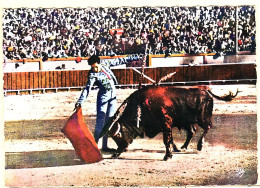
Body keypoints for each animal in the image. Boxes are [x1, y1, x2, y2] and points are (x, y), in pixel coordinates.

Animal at [99, 85, 238, 160]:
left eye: (118, 136)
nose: (115, 153)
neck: (143, 104)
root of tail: (205, 90)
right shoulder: (167, 126)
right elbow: (170, 140)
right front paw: (172, 151)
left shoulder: (166, 123)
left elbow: (166, 140)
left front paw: (167, 156)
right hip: (188, 122)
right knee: (192, 131)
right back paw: (184, 147)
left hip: (203, 118)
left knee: (207, 127)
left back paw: (200, 145)